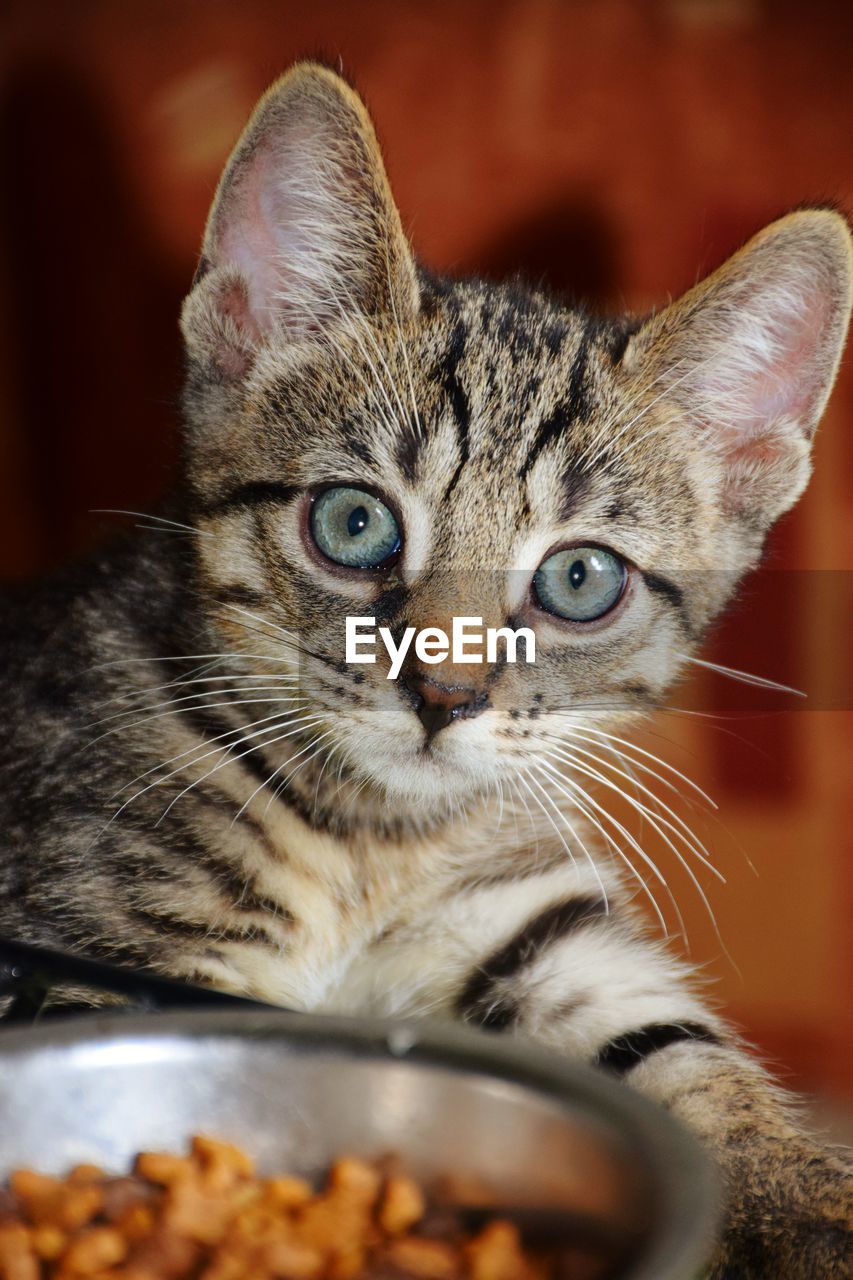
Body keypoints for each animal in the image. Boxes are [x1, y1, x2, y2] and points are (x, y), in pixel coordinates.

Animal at [1, 62, 850, 1280]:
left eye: (580, 579)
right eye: (354, 523)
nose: (442, 696)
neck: (371, 840)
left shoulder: (532, 922)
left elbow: (684, 1056)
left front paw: (807, 1210)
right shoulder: (91, 938)